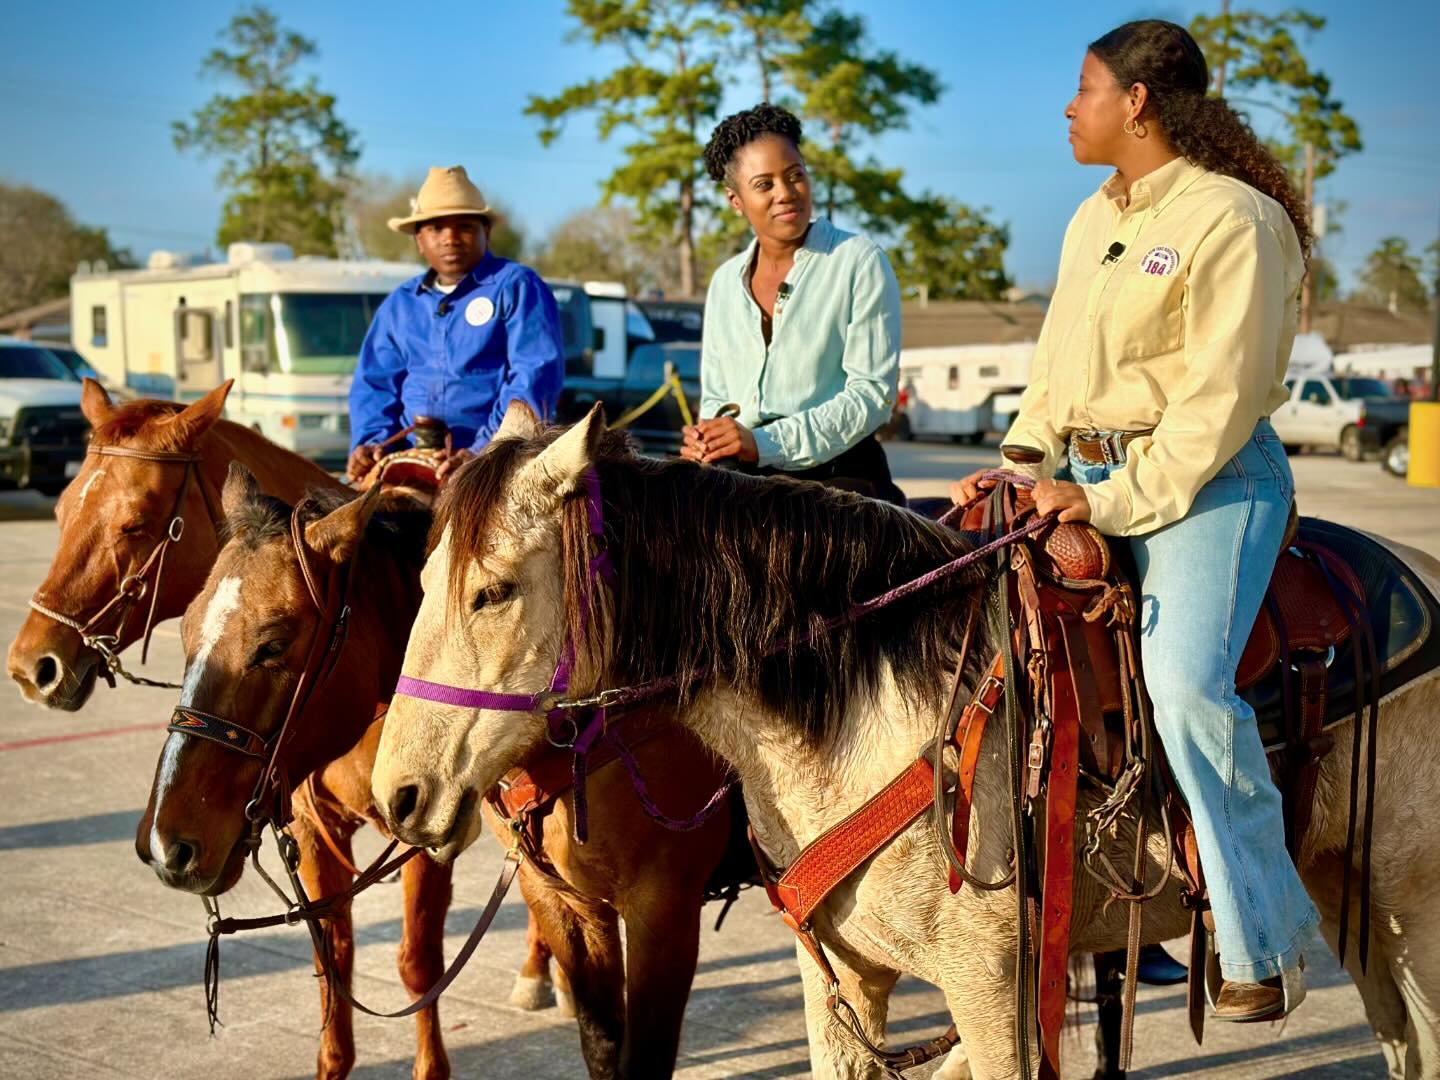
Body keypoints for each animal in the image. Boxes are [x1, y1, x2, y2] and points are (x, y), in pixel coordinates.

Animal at [368, 408, 1440, 1080]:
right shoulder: (840, 981)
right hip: (1349, 897)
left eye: (493, 590)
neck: (874, 712)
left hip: (1410, 912)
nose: (398, 795)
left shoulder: (998, 997)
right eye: (411, 582)